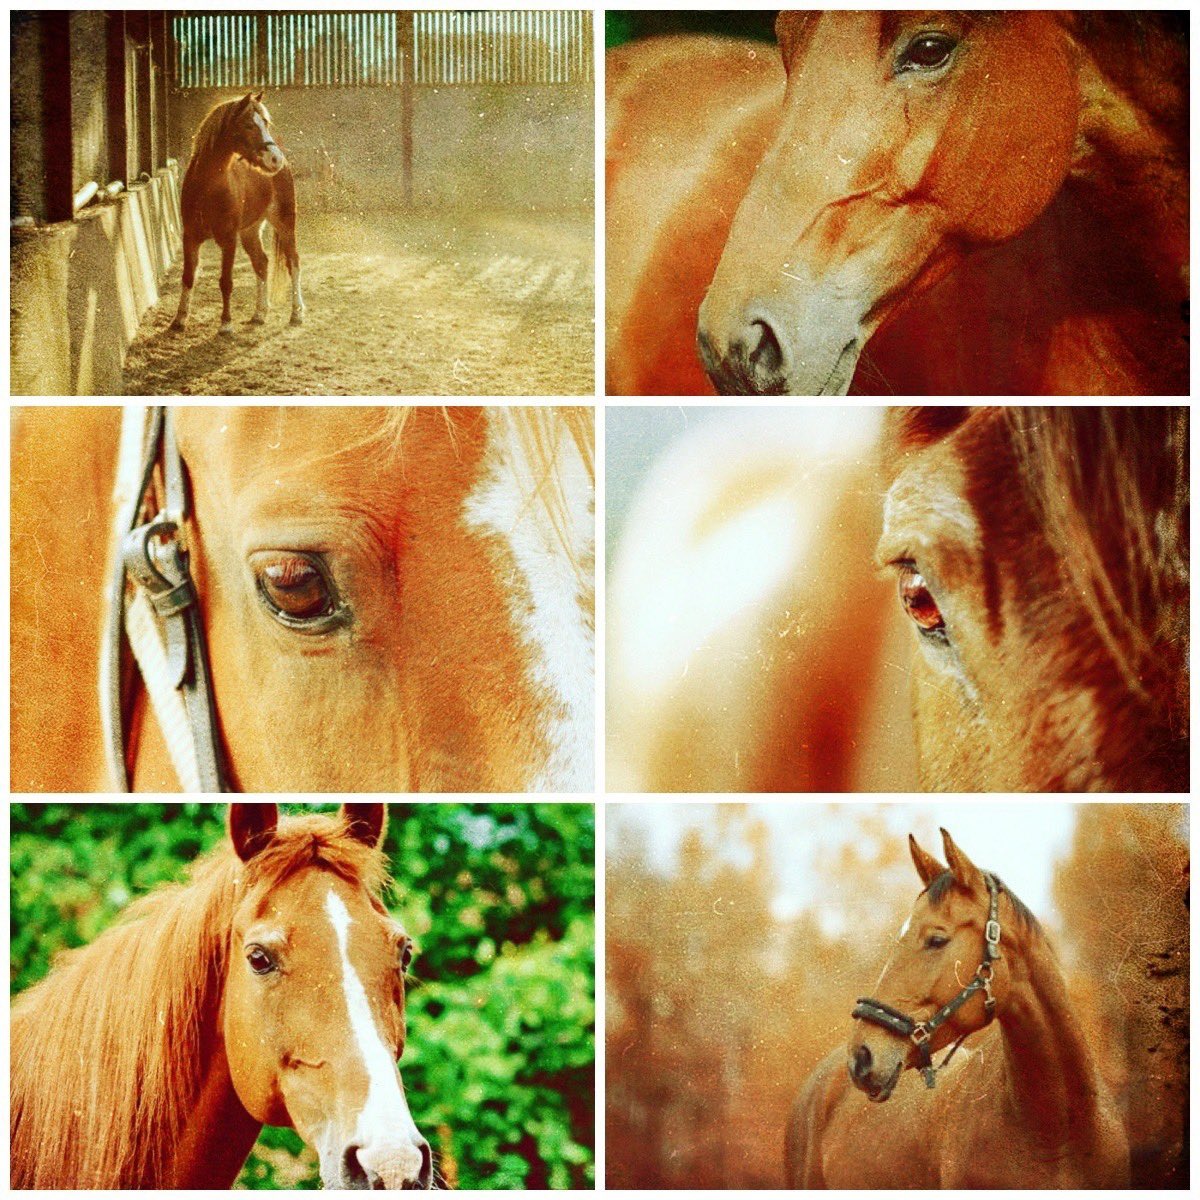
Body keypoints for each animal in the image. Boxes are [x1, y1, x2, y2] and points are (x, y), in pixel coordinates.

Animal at [172, 92, 304, 335]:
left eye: (266, 123)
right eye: (249, 125)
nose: (275, 159)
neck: (208, 187)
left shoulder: (228, 240)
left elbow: (226, 281)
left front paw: (226, 324)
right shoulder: (190, 237)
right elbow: (187, 276)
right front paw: (179, 319)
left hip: (284, 223)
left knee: (293, 262)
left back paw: (297, 314)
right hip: (250, 231)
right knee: (262, 263)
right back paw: (259, 314)